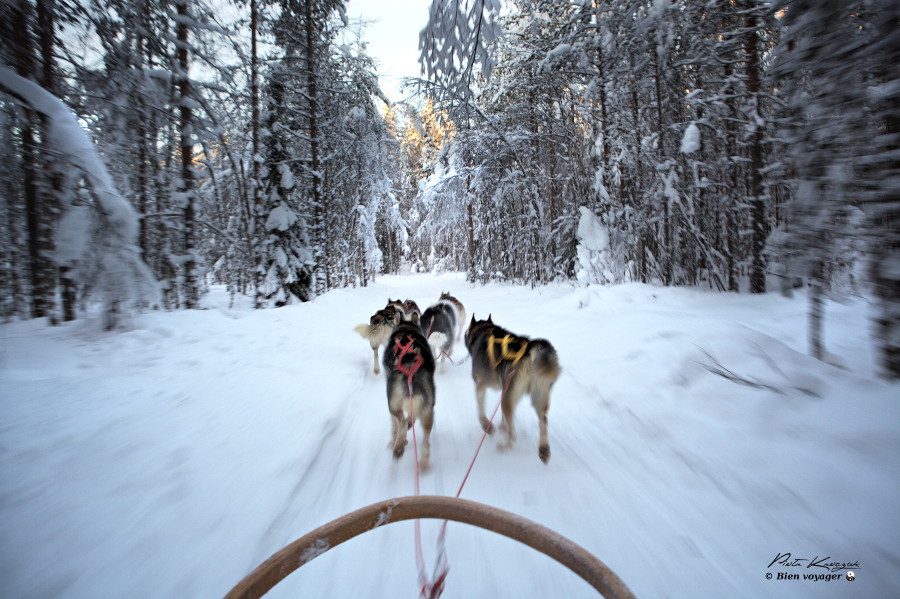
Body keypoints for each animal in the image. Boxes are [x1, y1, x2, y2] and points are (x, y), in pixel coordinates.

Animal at [384, 312, 436, 472]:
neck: (406, 329)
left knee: (401, 420)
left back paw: (399, 445)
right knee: (425, 440)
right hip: (428, 409)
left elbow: (394, 424)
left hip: (392, 402)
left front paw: (393, 439)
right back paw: (424, 462)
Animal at [468, 314, 560, 464]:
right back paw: (544, 450)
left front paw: (487, 426)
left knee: (513, 434)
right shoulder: (505, 390)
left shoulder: (481, 385)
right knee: (543, 421)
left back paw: (506, 445)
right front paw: (502, 426)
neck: (485, 331)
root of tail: (530, 350)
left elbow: (480, 410)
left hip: (508, 397)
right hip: (537, 395)